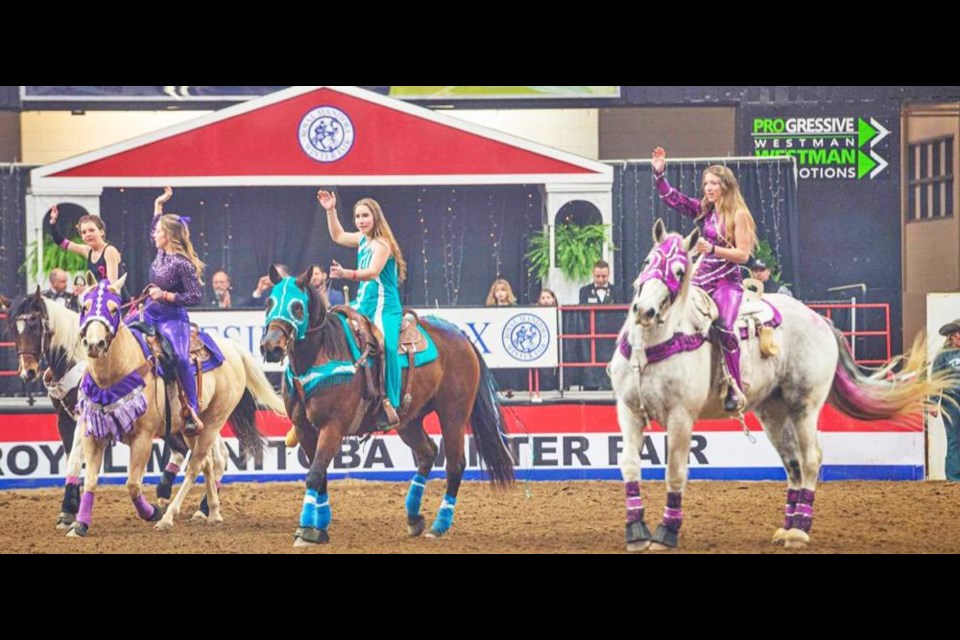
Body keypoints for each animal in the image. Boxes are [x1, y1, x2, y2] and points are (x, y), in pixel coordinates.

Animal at [71, 274, 284, 536]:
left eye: (113, 309)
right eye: (84, 307)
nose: (95, 344)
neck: (118, 371)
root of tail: (232, 348)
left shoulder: (142, 438)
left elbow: (133, 484)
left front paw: (152, 511)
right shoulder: (93, 433)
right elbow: (90, 480)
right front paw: (79, 525)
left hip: (213, 422)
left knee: (195, 466)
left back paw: (168, 517)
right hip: (191, 427)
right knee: (207, 463)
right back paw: (212, 512)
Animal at [255, 264, 510, 544]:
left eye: (297, 307)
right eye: (268, 302)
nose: (271, 347)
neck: (321, 354)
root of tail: (461, 336)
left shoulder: (333, 426)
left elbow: (314, 474)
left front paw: (306, 530)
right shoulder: (304, 429)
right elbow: (319, 475)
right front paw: (319, 527)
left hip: (453, 414)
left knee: (455, 465)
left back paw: (439, 525)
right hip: (409, 420)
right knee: (428, 452)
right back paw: (414, 517)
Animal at [612, 220, 948, 552]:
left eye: (680, 271)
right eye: (647, 262)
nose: (644, 311)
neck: (654, 345)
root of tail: (820, 320)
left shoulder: (681, 416)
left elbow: (675, 471)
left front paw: (666, 532)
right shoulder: (629, 411)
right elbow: (629, 464)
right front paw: (636, 530)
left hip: (805, 407)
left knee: (811, 459)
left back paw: (799, 529)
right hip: (773, 413)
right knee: (793, 464)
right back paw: (787, 525)